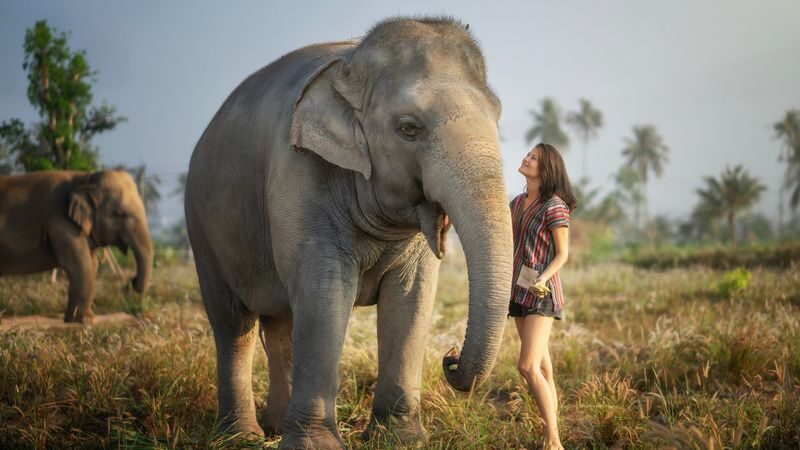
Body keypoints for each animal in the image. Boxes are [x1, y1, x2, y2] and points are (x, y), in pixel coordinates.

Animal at [0, 169, 154, 323]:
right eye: (119, 213)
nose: (131, 282)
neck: (84, 179)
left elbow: (93, 263)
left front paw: (77, 319)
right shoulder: (61, 222)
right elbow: (80, 264)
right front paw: (84, 320)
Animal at [185, 16, 512, 449]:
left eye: (498, 117)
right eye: (409, 128)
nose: (450, 356)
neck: (352, 63)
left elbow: (411, 297)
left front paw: (401, 439)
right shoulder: (299, 175)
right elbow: (325, 290)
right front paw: (316, 446)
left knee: (282, 323)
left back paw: (275, 427)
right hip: (202, 229)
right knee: (233, 324)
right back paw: (241, 437)